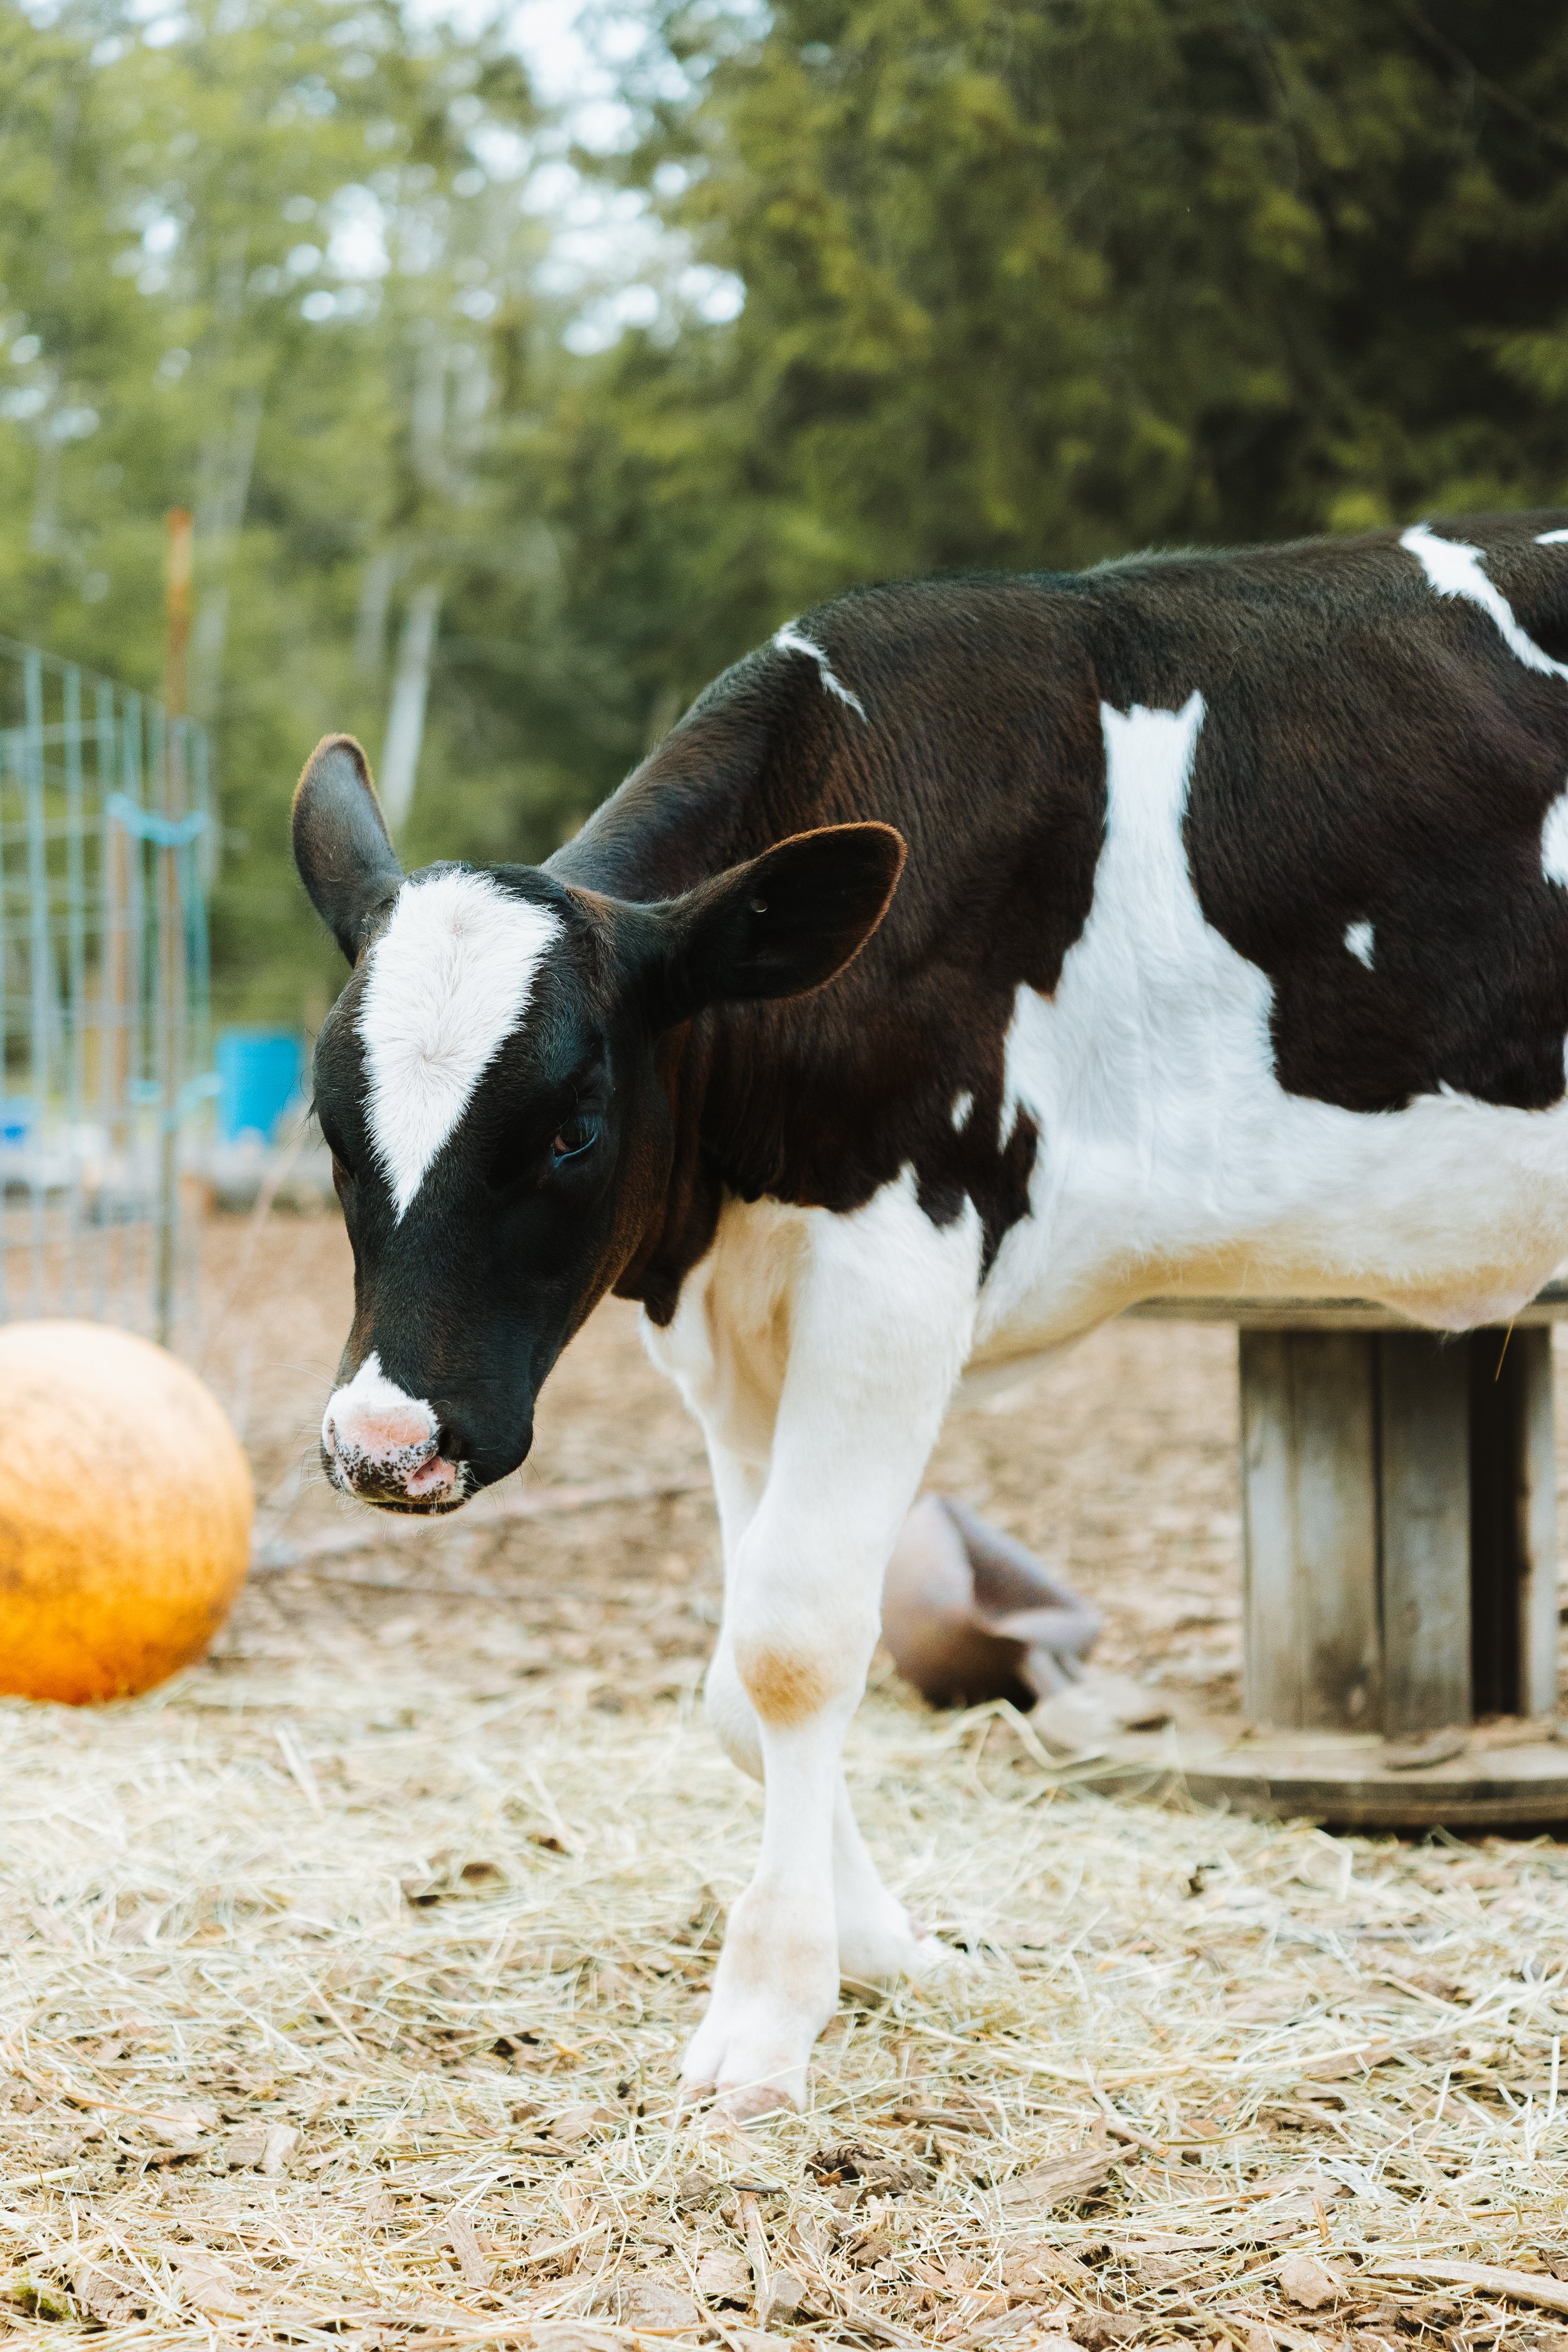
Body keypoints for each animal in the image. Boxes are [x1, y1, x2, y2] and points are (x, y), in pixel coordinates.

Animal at [294, 509, 1568, 2118]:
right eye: (328, 1121)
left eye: (574, 1123)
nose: (382, 1442)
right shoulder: (738, 1323)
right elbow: (740, 1670)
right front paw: (885, 1951)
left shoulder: (898, 1262)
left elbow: (793, 1641)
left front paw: (766, 2012)